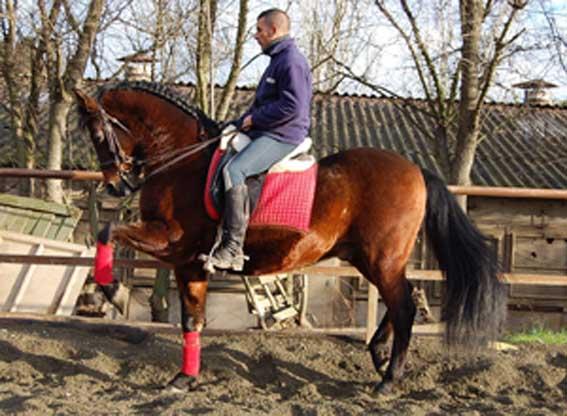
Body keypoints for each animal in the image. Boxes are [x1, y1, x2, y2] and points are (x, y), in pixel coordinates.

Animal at [74, 80, 506, 394]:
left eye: (98, 132)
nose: (114, 185)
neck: (183, 159)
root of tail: (414, 169)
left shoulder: (170, 240)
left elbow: (107, 231)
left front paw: (111, 291)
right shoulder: (189, 262)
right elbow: (192, 320)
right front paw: (184, 379)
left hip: (381, 258)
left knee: (404, 306)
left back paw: (387, 379)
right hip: (371, 258)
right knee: (408, 297)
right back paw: (379, 354)